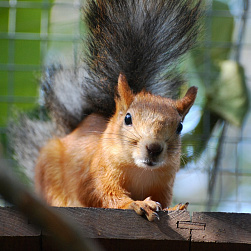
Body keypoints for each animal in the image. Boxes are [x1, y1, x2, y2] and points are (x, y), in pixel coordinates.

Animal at [11, 0, 202, 221]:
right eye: (127, 118)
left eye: (180, 127)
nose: (154, 148)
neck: (140, 171)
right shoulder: (98, 173)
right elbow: (104, 194)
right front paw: (136, 203)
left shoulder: (164, 184)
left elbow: (162, 200)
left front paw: (173, 208)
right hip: (49, 173)